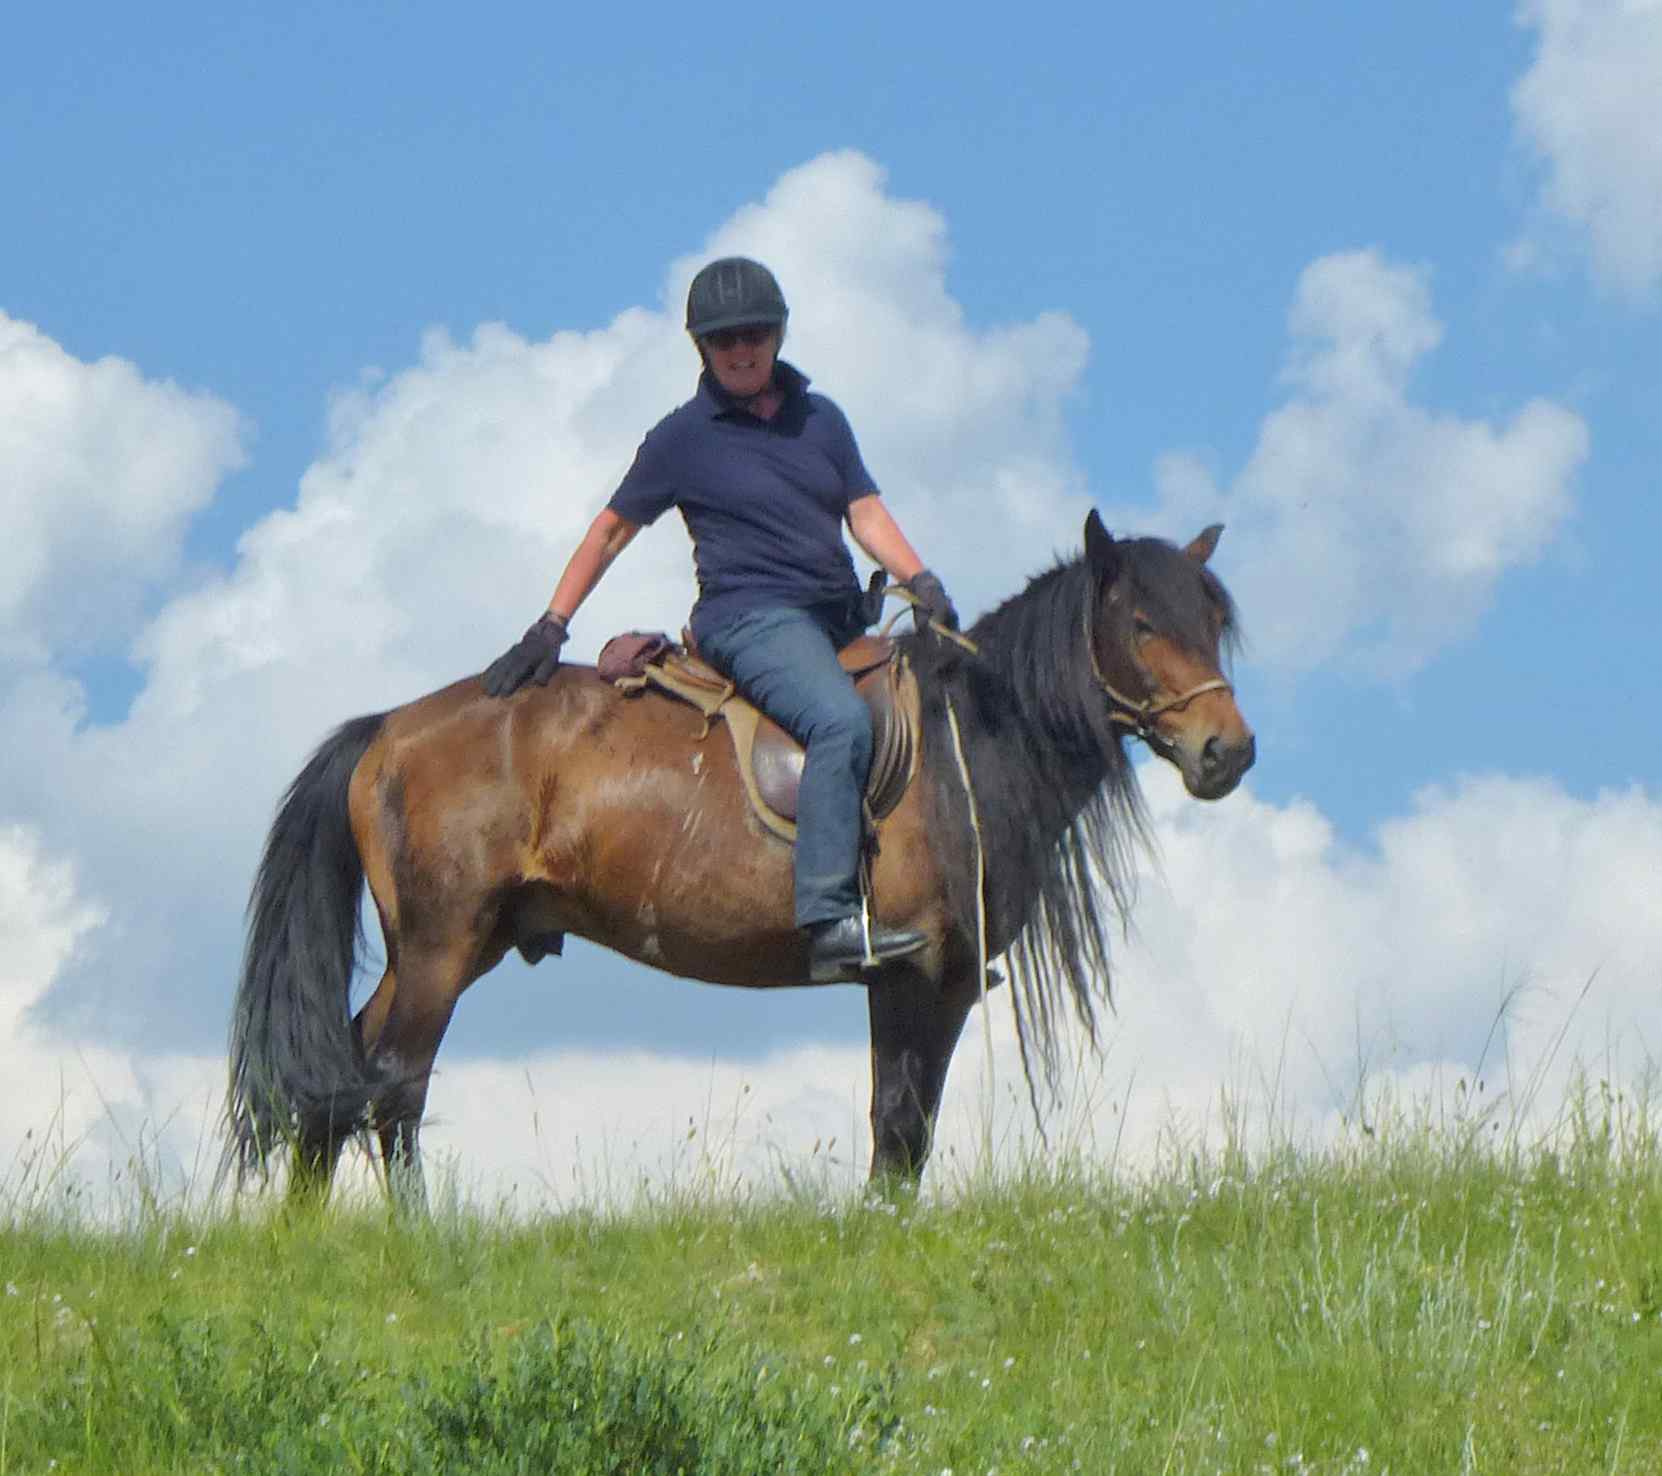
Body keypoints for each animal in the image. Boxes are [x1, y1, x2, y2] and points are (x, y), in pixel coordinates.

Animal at [224, 510, 1254, 1209]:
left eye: (1211, 623)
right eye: (1142, 624)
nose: (1227, 751)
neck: (974, 736)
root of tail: (386, 729)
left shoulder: (950, 982)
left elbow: (910, 1130)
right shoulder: (909, 972)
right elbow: (896, 1117)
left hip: (450, 948)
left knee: (343, 1069)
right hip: (441, 946)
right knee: (394, 1085)